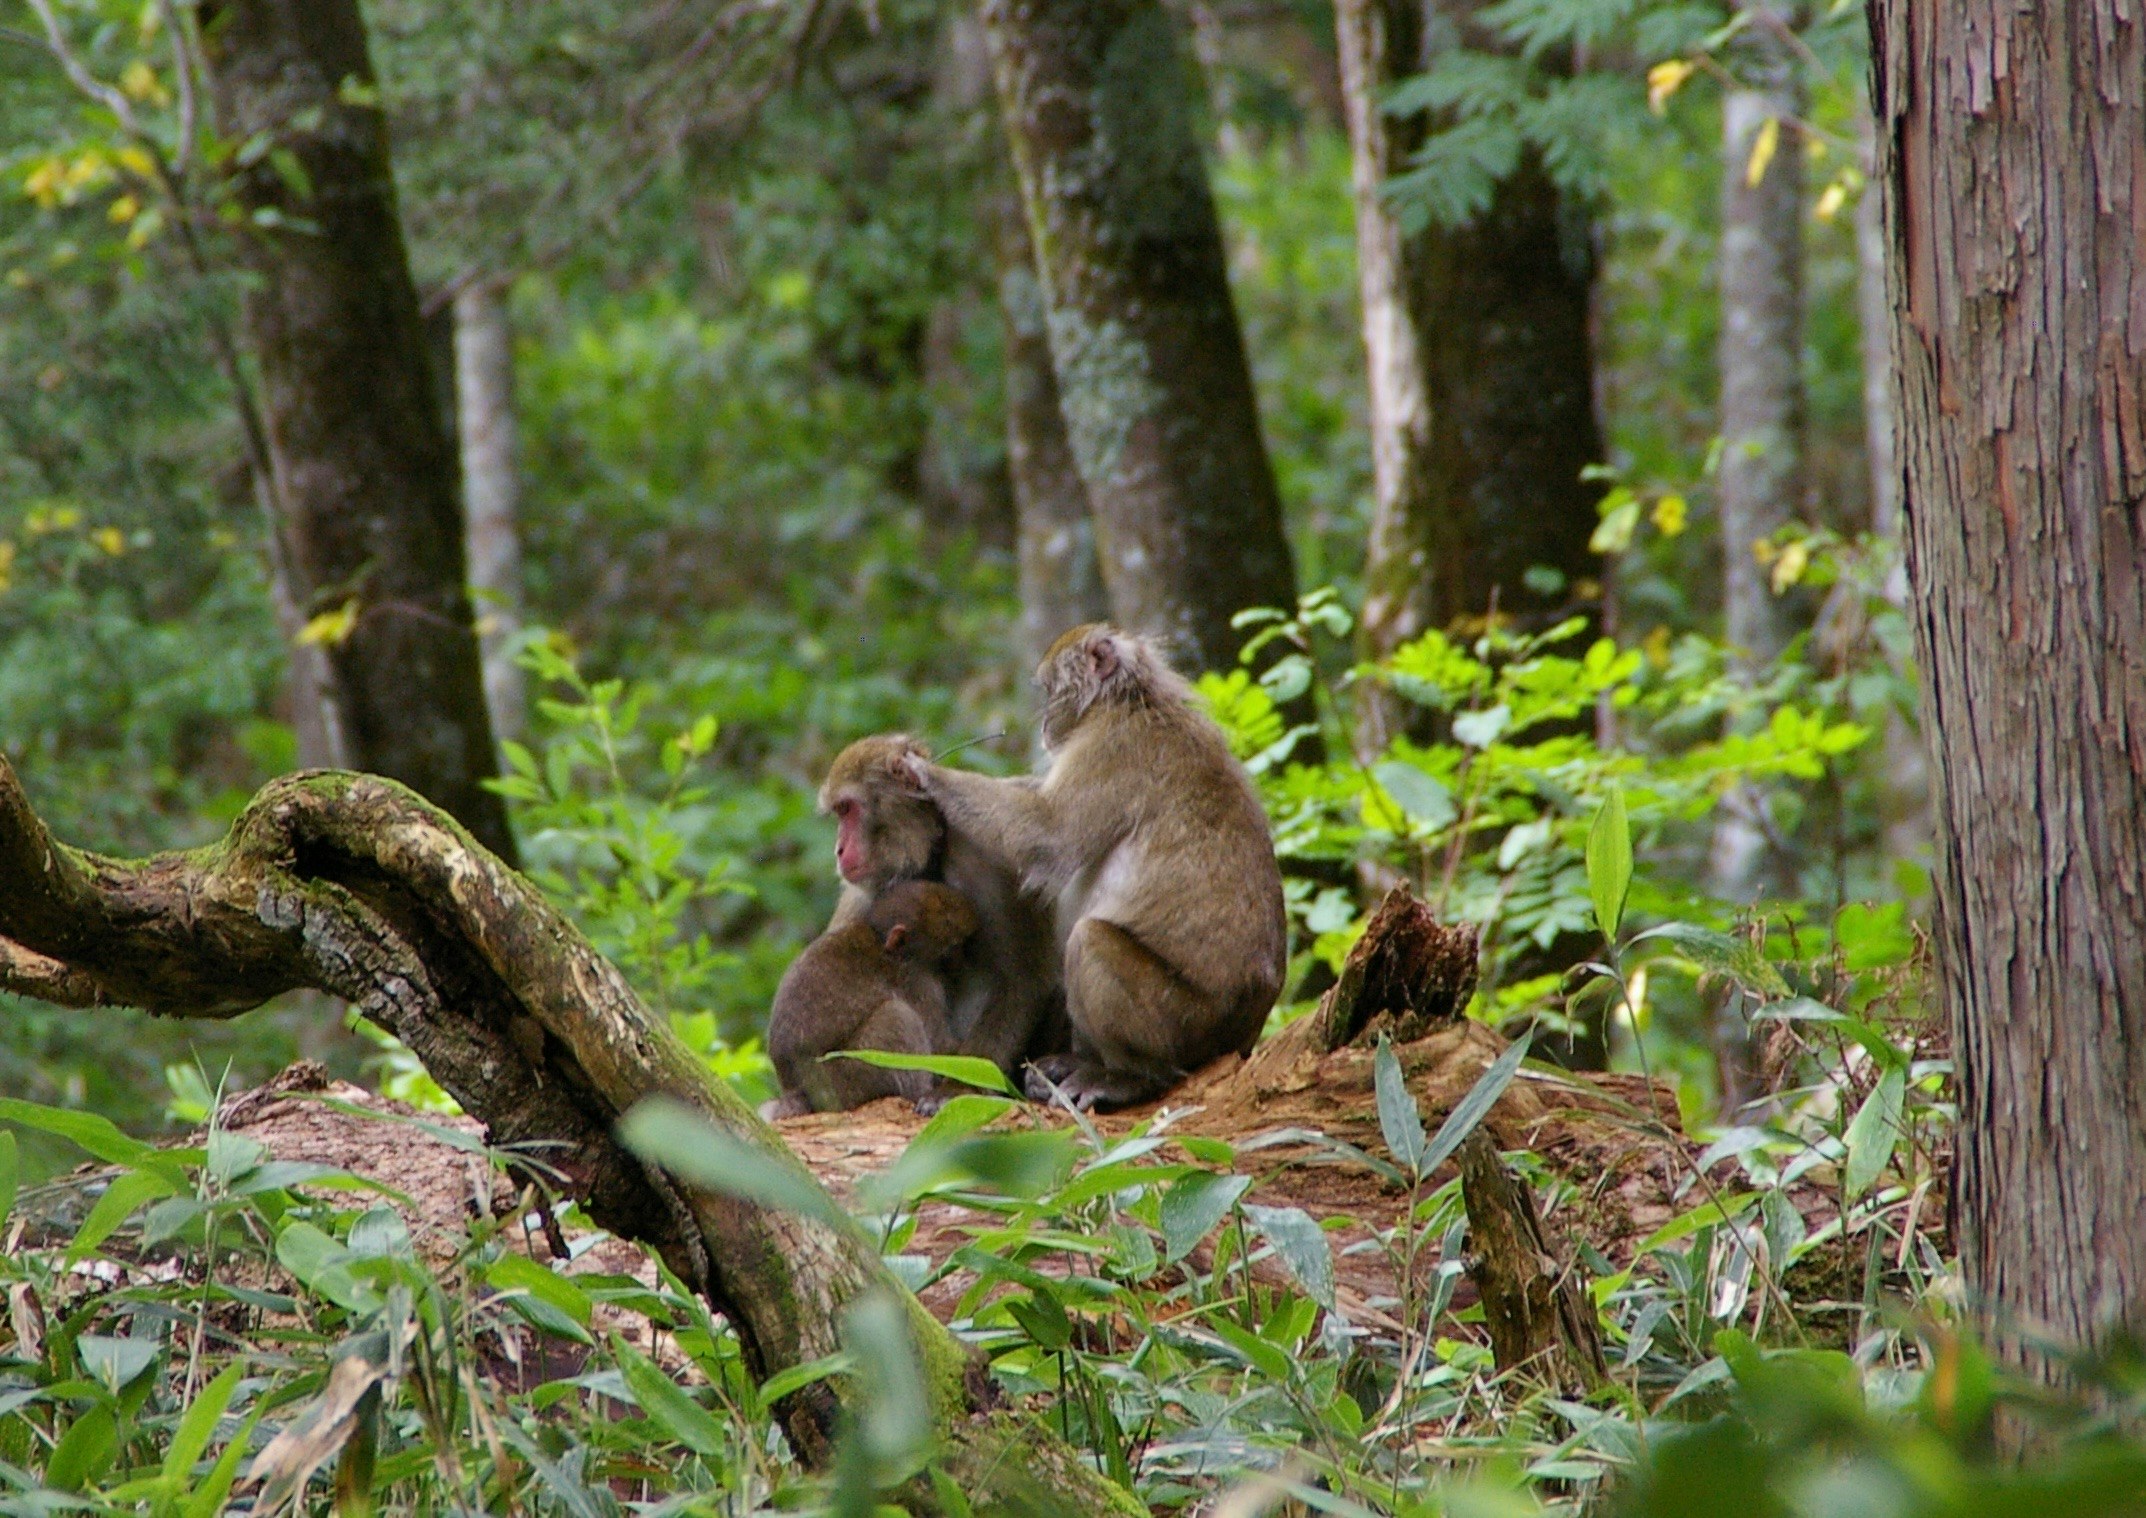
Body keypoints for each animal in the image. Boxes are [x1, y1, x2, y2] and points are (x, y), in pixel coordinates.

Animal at [761, 879, 979, 1118]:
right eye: (952, 948)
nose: (961, 962)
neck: (881, 940)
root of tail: (795, 1091)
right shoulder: (919, 980)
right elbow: (940, 1045)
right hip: (848, 1083)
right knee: (897, 1016)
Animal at [812, 735, 1066, 1102]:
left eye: (847, 809)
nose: (839, 850)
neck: (929, 854)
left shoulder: (993, 857)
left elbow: (1025, 979)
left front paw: (957, 1086)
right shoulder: (864, 896)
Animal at [902, 624, 1288, 1111]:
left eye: (1050, 691)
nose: (1044, 725)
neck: (1129, 701)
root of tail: (1245, 1032)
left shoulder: (1111, 748)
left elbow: (1047, 833)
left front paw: (926, 775)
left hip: (1185, 1023)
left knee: (1090, 941)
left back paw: (1127, 1077)